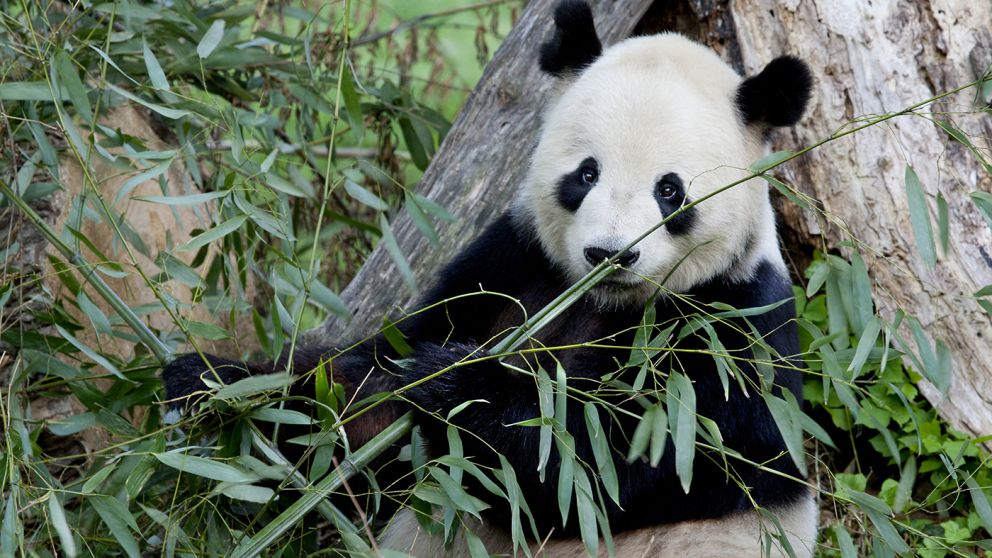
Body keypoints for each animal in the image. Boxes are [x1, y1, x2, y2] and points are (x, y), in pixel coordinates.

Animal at [163, 1, 817, 556]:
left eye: (670, 191)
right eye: (586, 174)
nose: (609, 254)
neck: (604, 304)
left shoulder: (734, 326)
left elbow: (618, 463)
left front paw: (457, 386)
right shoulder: (513, 264)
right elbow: (361, 404)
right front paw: (215, 384)